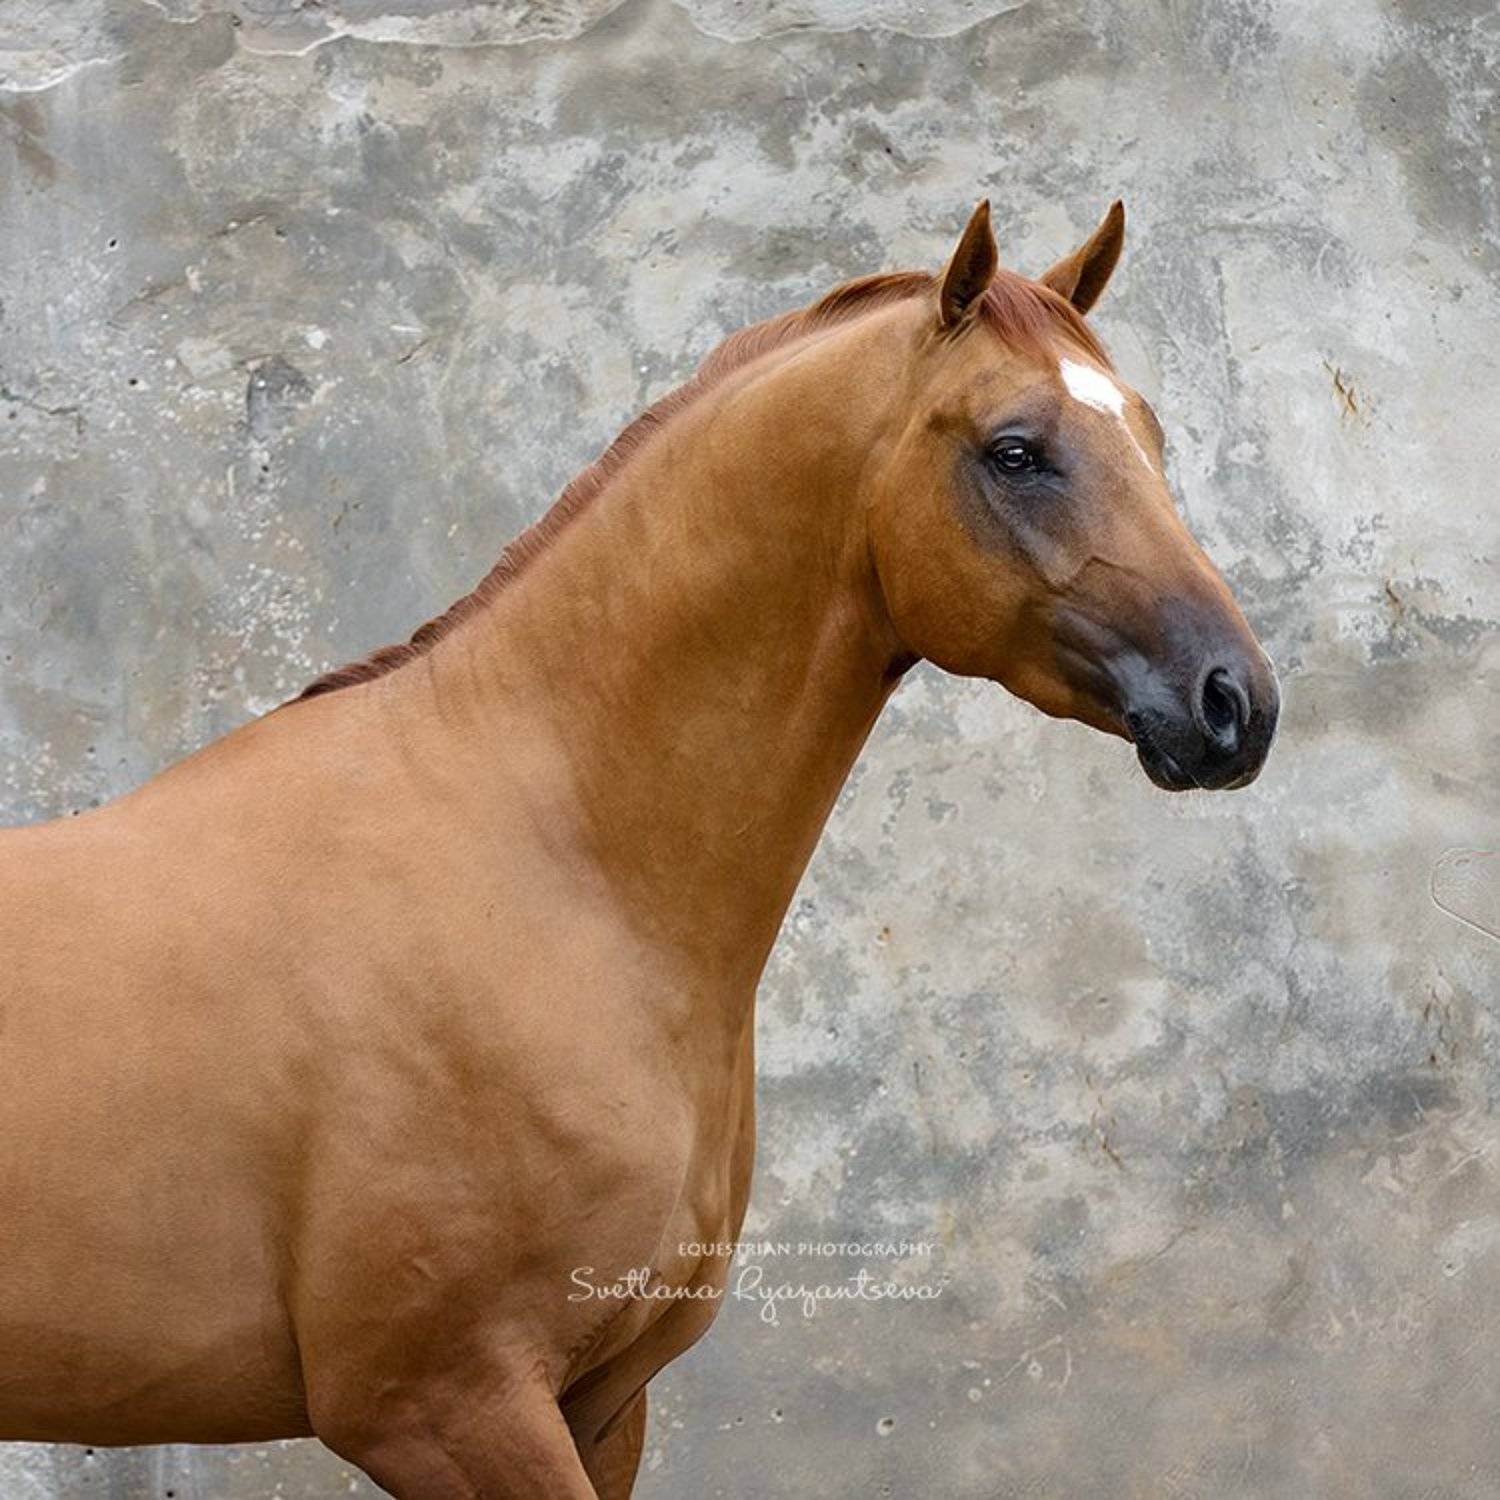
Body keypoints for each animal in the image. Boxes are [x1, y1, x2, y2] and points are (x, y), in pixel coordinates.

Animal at [0, 198, 1278, 1497]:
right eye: (1015, 451)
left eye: (1147, 434)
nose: (1236, 702)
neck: (550, 876)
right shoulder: (444, 1407)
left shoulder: (604, 1402)